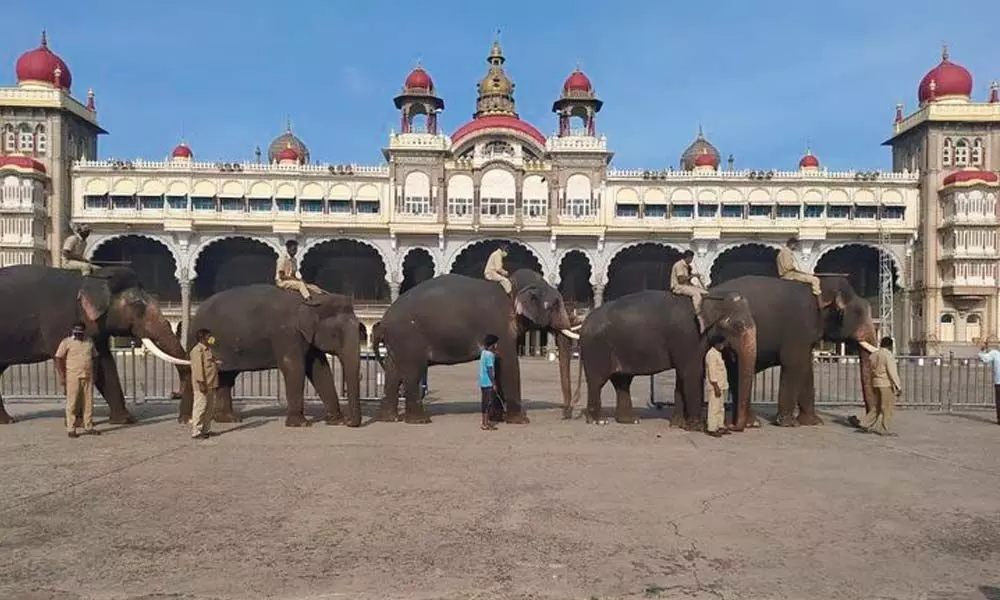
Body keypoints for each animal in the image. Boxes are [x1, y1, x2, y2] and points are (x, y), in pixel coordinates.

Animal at [0, 264, 192, 424]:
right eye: (138, 305)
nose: (173, 394)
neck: (90, 279)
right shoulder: (60, 322)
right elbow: (70, 361)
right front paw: (76, 422)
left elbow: (105, 364)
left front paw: (125, 420)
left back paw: (8, 421)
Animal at [185, 284, 364, 426]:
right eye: (335, 334)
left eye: (360, 330)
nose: (349, 421)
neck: (314, 299)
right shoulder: (287, 333)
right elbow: (294, 367)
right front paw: (301, 424)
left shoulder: (306, 336)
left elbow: (319, 369)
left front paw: (337, 421)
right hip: (197, 341)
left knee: (227, 377)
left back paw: (229, 419)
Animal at [374, 270, 580, 424]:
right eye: (555, 304)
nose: (565, 414)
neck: (512, 287)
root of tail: (383, 322)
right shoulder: (499, 325)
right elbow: (509, 365)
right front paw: (521, 421)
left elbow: (497, 366)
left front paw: (499, 416)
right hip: (407, 337)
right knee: (412, 373)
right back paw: (420, 420)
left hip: (397, 342)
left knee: (393, 372)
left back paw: (389, 418)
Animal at [576, 288, 752, 428]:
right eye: (739, 326)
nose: (731, 425)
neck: (711, 295)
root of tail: (584, 322)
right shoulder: (687, 336)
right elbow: (692, 373)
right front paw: (697, 425)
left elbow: (683, 375)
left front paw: (678, 424)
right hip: (597, 348)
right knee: (597, 381)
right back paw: (599, 421)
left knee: (622, 380)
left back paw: (630, 420)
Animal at [708, 274, 880, 428]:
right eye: (858, 313)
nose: (854, 419)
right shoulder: (798, 328)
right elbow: (793, 363)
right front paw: (788, 423)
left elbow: (806, 367)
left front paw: (813, 422)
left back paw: (750, 423)